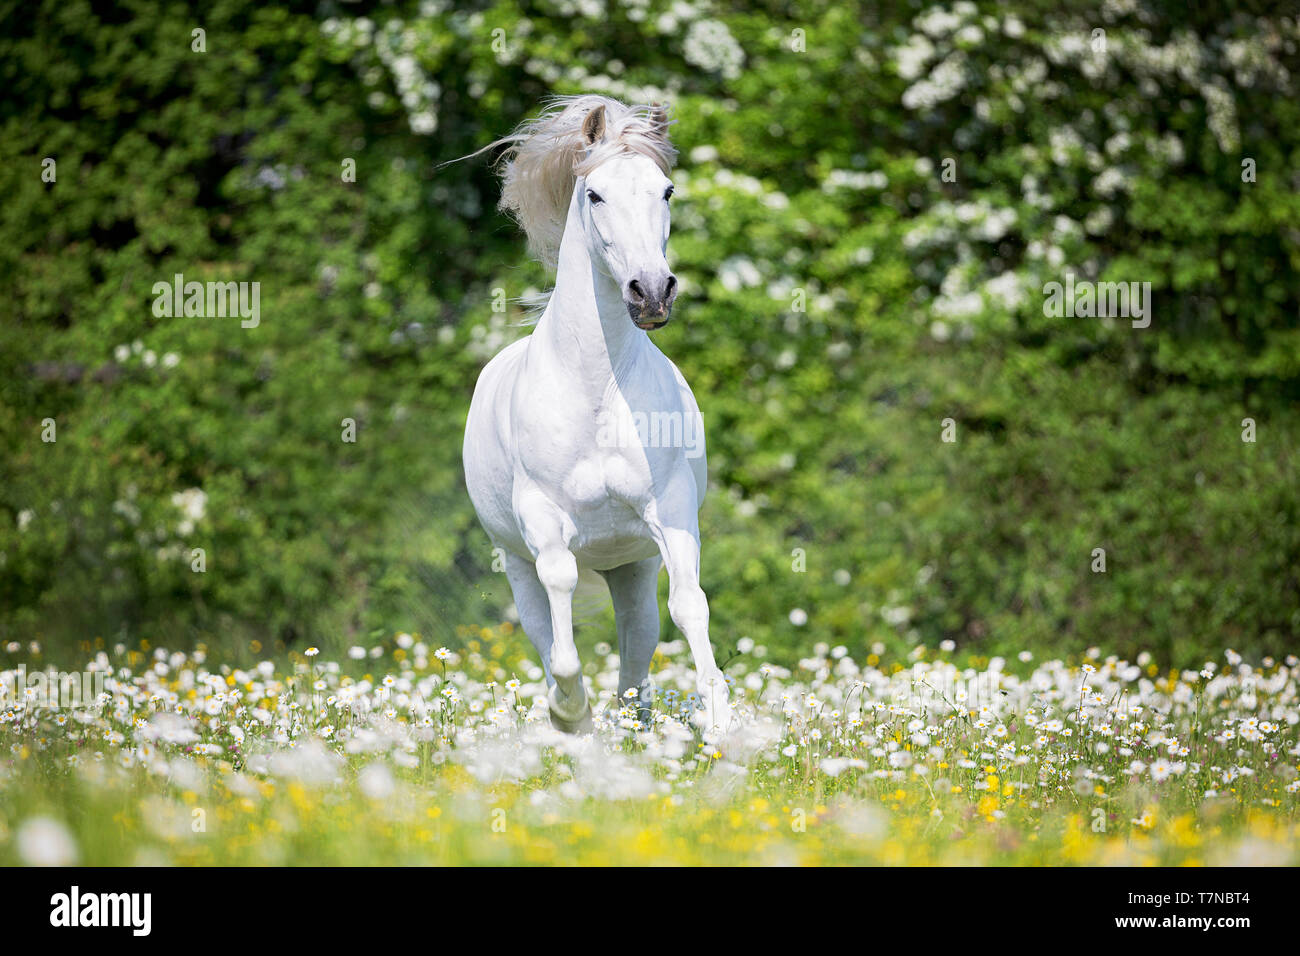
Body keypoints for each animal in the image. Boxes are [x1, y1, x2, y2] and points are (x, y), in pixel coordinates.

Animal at [461, 95, 733, 734]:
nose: (651, 291)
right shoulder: (542, 521)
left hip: (630, 567)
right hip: (518, 564)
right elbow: (561, 615)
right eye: (595, 194)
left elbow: (690, 605)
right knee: (544, 627)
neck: (597, 390)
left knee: (637, 646)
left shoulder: (670, 512)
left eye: (666, 190)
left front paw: (723, 723)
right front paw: (570, 712)